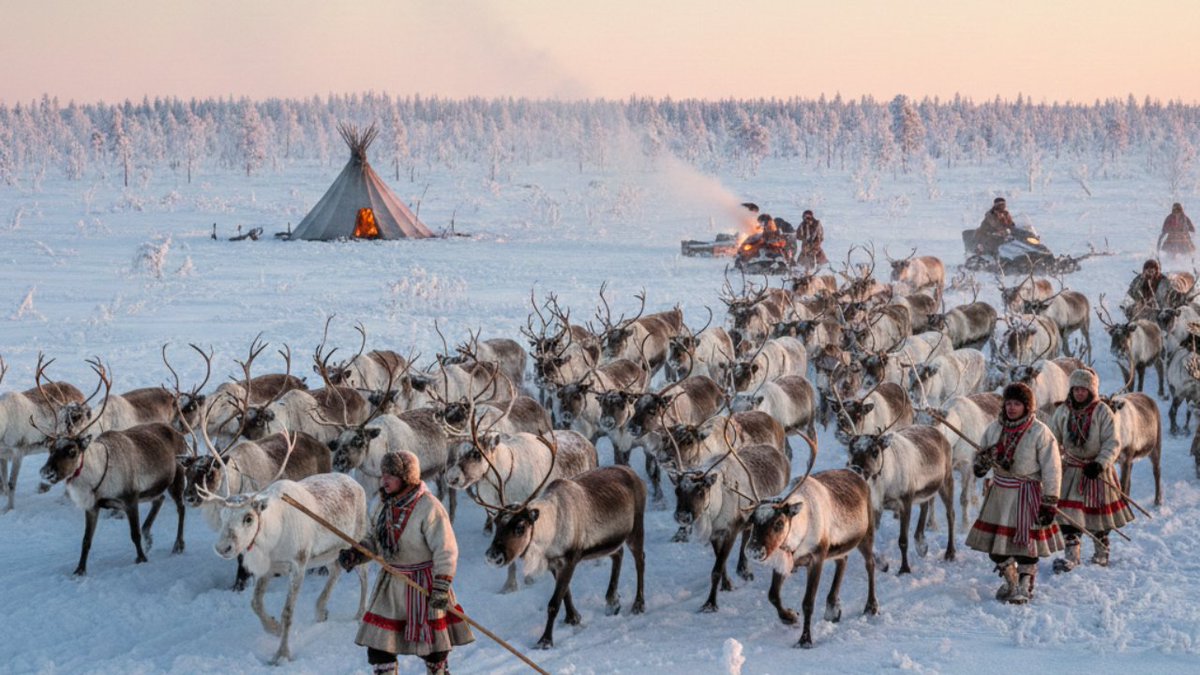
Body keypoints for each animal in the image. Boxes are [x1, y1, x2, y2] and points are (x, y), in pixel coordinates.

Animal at [37, 359, 186, 576]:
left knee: (181, 508)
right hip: (154, 488)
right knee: (159, 500)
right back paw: (150, 536)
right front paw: (79, 570)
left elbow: (134, 534)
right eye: (51, 448)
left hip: (176, 478)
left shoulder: (130, 499)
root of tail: (177, 433)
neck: (98, 474)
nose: (46, 472)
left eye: (72, 450)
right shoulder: (92, 507)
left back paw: (178, 545)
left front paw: (141, 559)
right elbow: (86, 540)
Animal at [744, 435, 878, 648]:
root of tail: (856, 473)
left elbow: (808, 602)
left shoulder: (816, 557)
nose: (754, 550)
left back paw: (871, 606)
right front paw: (789, 617)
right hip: (839, 546)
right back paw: (833, 608)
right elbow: (773, 595)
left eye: (779, 522)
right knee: (843, 560)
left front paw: (805, 640)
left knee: (870, 564)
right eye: (753, 520)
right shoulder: (784, 559)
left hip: (867, 534)